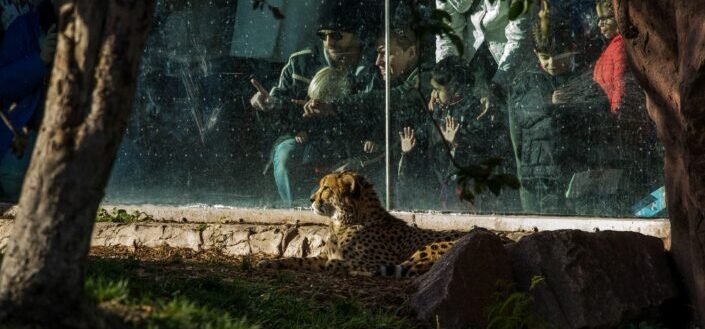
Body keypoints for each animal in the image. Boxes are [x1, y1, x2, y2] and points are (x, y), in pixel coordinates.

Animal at [258, 170, 468, 276]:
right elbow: (298, 260)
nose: (311, 199)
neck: (345, 221)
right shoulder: (323, 256)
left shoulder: (383, 259)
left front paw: (340, 265)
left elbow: (361, 264)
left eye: (326, 188)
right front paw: (270, 262)